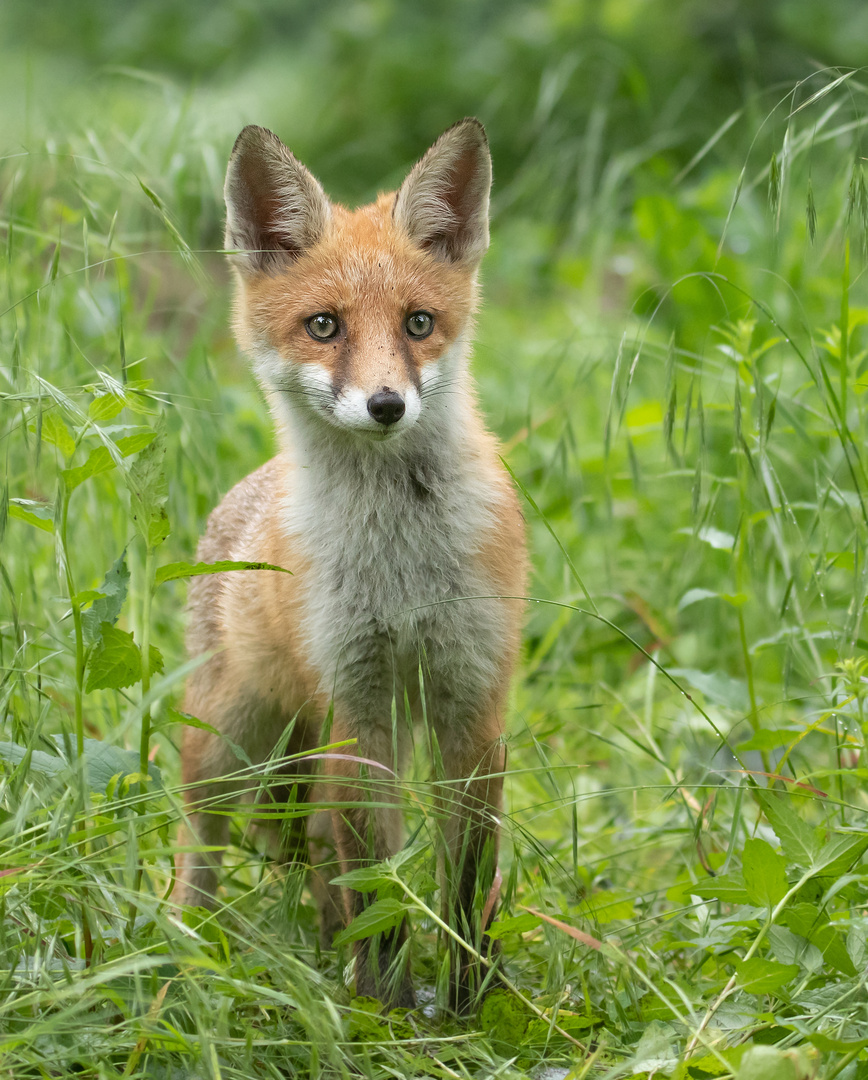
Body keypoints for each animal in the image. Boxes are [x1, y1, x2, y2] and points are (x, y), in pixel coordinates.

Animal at [179, 120, 524, 1010]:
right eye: (325, 326)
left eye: (418, 323)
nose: (386, 405)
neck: (399, 566)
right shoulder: (360, 700)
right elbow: (383, 883)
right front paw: (392, 1009)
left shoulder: (472, 699)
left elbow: (464, 879)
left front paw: (466, 1005)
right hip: (231, 740)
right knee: (205, 841)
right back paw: (181, 950)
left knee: (317, 856)